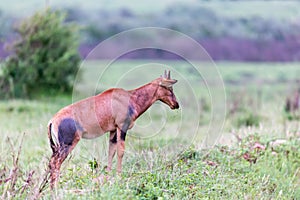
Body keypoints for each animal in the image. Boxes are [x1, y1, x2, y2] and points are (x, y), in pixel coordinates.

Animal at [47, 70, 178, 189]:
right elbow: (121, 151)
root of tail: (53, 120)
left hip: (57, 147)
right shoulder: (122, 127)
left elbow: (111, 152)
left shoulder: (113, 130)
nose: (176, 105)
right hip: (68, 144)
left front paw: (109, 177)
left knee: (51, 162)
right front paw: (119, 177)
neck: (129, 97)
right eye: (170, 88)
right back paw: (55, 188)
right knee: (55, 163)